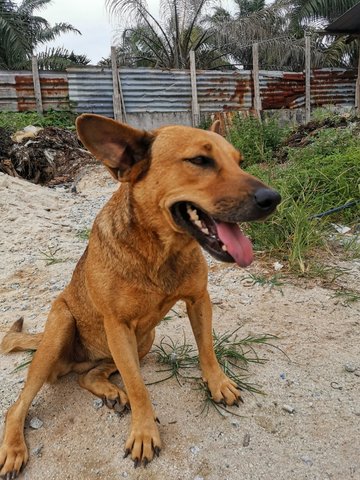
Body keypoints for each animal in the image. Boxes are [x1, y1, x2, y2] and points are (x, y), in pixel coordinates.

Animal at [0, 115, 282, 476]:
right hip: (62, 328)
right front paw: (145, 432)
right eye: (199, 160)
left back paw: (107, 389)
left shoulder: (198, 300)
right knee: (18, 405)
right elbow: (137, 387)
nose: (273, 198)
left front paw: (218, 383)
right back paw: (14, 447)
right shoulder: (118, 325)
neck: (160, 250)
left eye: (239, 162)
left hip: (144, 338)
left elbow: (207, 349)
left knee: (89, 374)